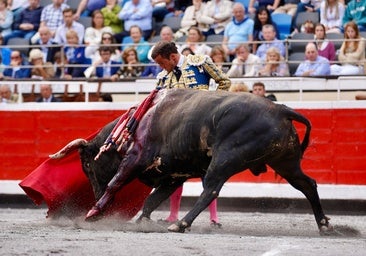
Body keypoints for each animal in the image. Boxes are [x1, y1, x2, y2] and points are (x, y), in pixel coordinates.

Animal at [49, 88, 332, 234]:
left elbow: (115, 183)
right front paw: (142, 222)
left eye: (87, 165)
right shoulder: (174, 175)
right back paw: (324, 225)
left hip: (225, 158)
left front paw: (93, 213)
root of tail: (281, 109)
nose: (93, 194)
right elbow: (153, 199)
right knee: (308, 184)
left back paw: (182, 224)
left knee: (211, 190)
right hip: (286, 162)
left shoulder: (135, 159)